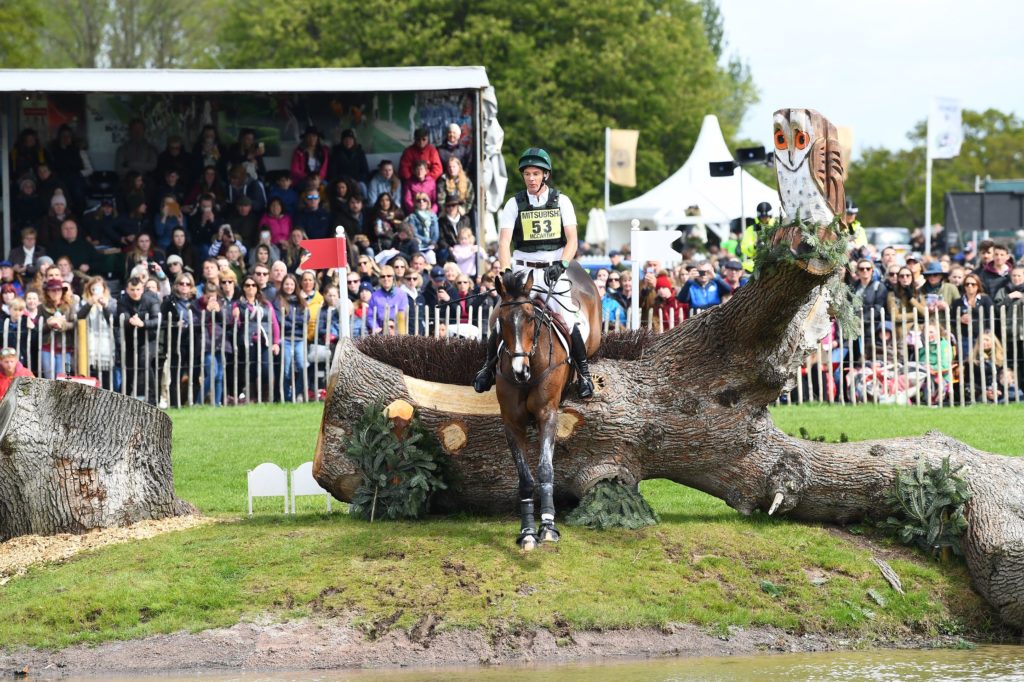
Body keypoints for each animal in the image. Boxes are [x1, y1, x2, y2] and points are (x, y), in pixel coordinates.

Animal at [491, 262, 602, 548]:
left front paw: (548, 526)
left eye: (531, 318)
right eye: (501, 321)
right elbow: (525, 477)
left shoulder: (548, 414)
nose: (519, 371)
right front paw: (528, 531)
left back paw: (586, 381)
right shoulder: (512, 423)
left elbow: (545, 469)